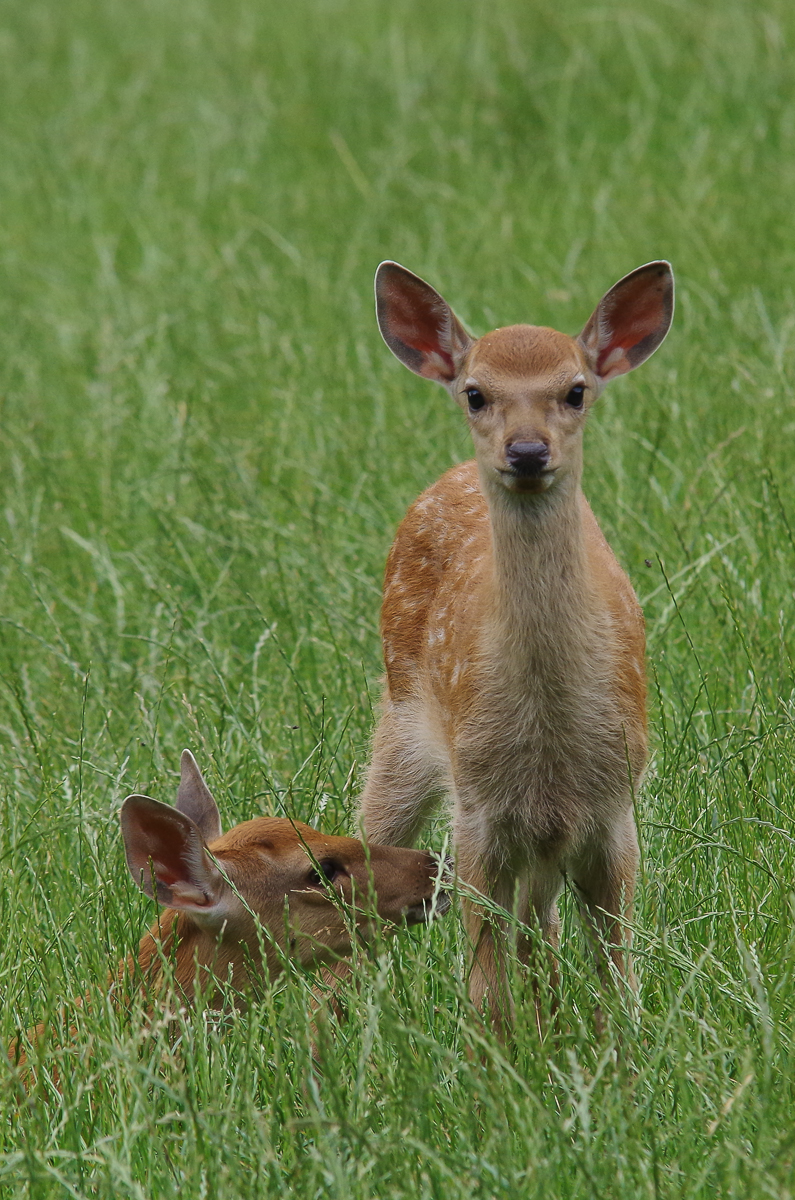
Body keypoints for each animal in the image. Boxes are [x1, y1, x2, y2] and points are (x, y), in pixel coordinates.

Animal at [357, 258, 677, 1027]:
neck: (548, 729)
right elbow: (482, 982)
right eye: (476, 392)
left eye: (575, 390)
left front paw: (618, 1047)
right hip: (403, 720)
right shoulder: (479, 810)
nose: (527, 451)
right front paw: (489, 1052)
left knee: (542, 924)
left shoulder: (613, 809)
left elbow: (619, 975)